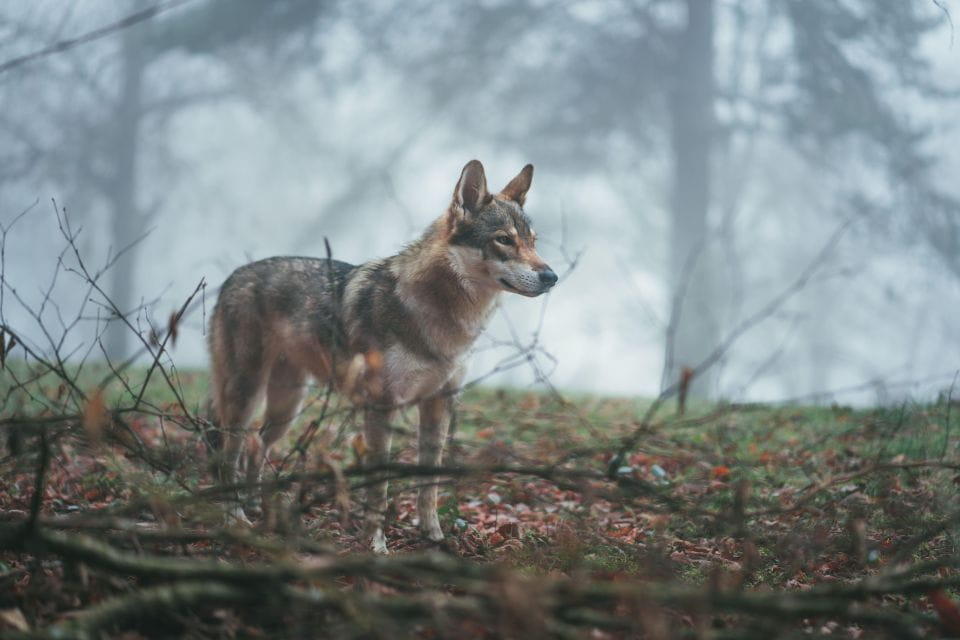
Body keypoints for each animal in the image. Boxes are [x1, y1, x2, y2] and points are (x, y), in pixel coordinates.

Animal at [208, 160, 557, 552]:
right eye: (504, 239)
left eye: (532, 241)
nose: (552, 276)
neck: (439, 316)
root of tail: (233, 276)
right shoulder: (380, 407)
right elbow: (380, 488)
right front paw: (376, 544)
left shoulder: (439, 404)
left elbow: (428, 484)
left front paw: (433, 536)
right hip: (246, 395)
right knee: (229, 453)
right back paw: (235, 518)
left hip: (287, 406)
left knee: (256, 445)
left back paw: (254, 505)